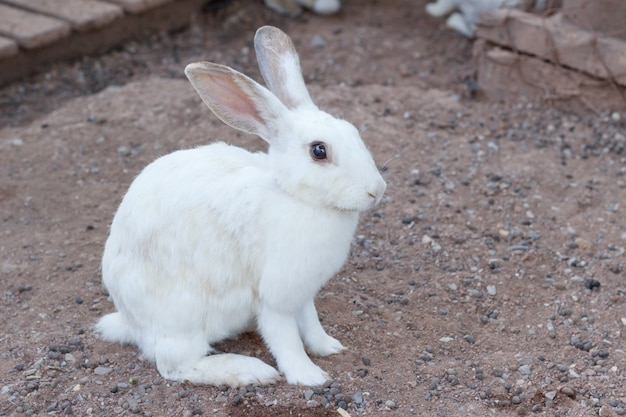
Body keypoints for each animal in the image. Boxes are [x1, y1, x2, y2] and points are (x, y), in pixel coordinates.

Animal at [95, 24, 386, 386]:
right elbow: (285, 338)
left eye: (353, 131)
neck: (294, 196)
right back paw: (250, 371)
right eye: (319, 151)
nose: (377, 191)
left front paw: (329, 347)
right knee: (175, 365)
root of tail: (130, 322)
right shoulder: (275, 295)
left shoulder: (303, 293)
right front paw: (309, 377)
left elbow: (311, 322)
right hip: (183, 318)